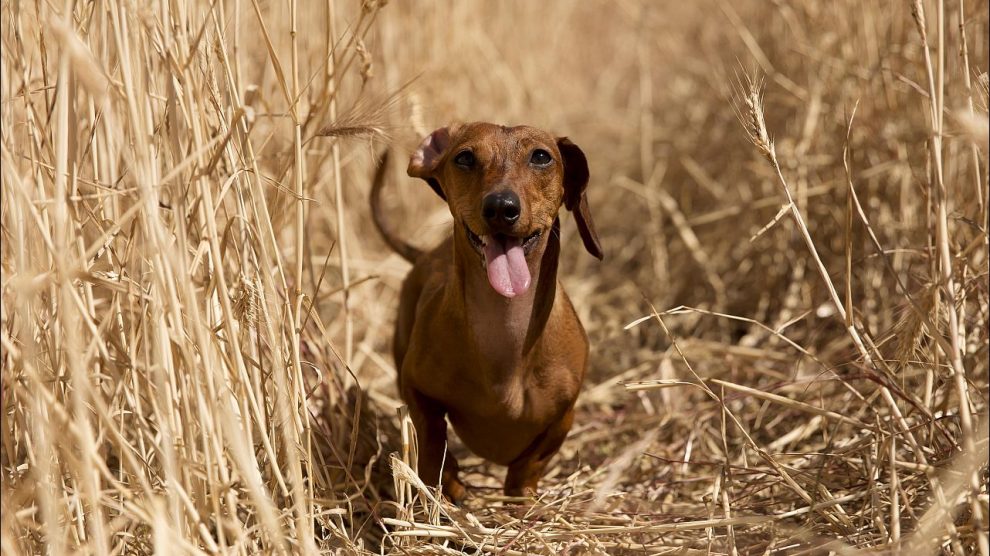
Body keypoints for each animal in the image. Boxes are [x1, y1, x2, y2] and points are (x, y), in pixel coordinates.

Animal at [372, 122, 604, 504]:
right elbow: (434, 440)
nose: (500, 207)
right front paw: (448, 486)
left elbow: (529, 464)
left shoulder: (563, 417)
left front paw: (523, 499)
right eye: (465, 157)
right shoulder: (416, 389)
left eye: (541, 156)